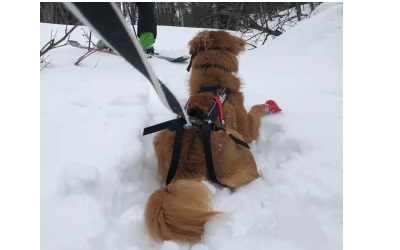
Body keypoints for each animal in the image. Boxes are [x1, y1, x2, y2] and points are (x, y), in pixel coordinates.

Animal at [144, 30, 272, 243]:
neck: (213, 78)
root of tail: (184, 171)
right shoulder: (247, 129)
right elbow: (255, 111)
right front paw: (266, 106)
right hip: (236, 139)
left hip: (161, 135)